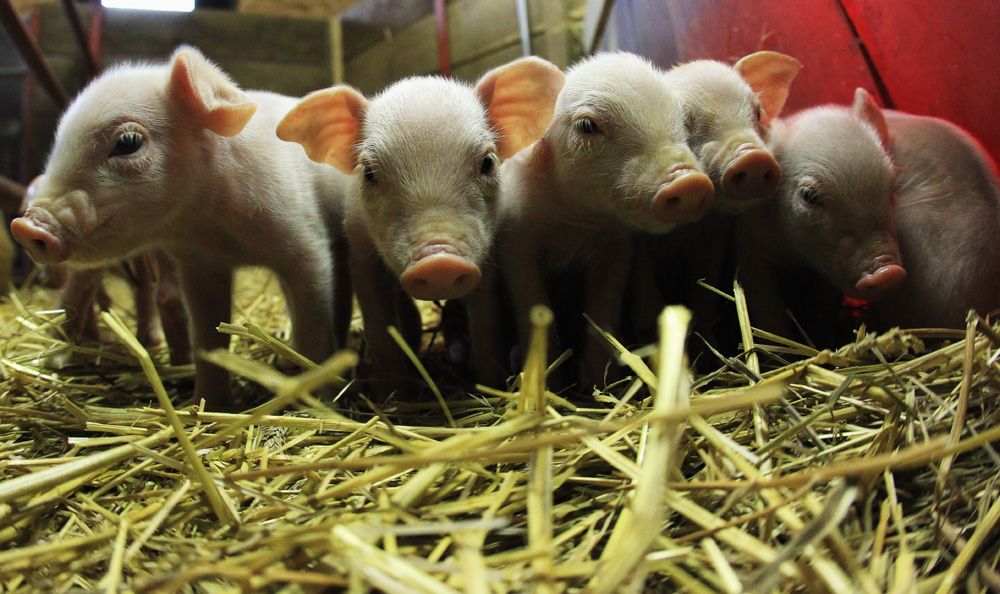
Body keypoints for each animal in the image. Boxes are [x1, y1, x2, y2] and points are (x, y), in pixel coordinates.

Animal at [10, 46, 352, 409]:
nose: (25, 227)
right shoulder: (199, 266)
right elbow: (207, 339)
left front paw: (320, 405)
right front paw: (205, 406)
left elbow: (313, 325)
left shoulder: (305, 239)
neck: (217, 228)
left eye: (128, 142)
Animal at [276, 57, 566, 393]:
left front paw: (489, 385)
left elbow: (486, 321)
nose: (439, 261)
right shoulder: (360, 255)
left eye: (488, 162)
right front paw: (394, 393)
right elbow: (379, 325)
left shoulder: (488, 257)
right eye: (369, 173)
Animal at [495, 51, 715, 390]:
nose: (688, 181)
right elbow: (534, 307)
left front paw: (598, 383)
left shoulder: (616, 251)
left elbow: (603, 310)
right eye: (588, 125)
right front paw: (550, 386)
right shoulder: (516, 243)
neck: (573, 223)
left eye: (682, 120)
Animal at [737, 88, 906, 344]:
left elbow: (822, 311)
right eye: (809, 195)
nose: (888, 273)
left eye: (891, 188)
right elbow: (767, 310)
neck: (794, 254)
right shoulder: (750, 251)